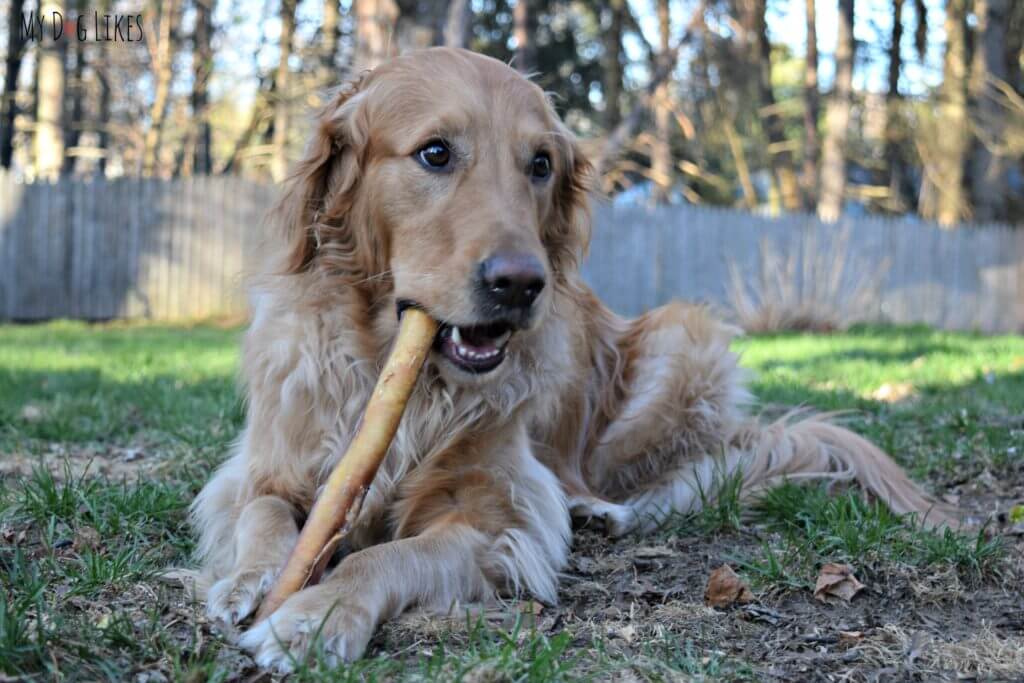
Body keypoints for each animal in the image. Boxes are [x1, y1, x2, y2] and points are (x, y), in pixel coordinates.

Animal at [192, 49, 950, 671]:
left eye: (540, 164)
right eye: (435, 153)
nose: (520, 284)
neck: (397, 370)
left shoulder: (501, 516)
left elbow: (387, 553)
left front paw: (314, 618)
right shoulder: (269, 462)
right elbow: (264, 510)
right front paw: (253, 579)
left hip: (685, 339)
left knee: (679, 477)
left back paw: (601, 510)